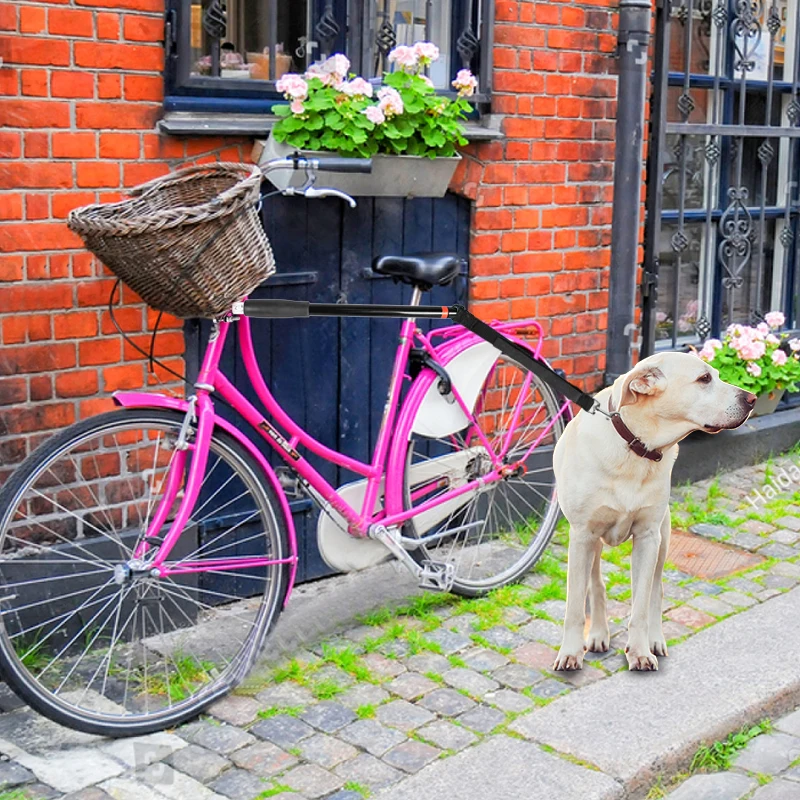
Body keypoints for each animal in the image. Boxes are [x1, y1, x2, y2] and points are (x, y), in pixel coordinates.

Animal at [552, 354, 752, 672]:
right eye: (704, 379)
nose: (752, 399)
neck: (636, 447)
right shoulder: (582, 536)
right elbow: (574, 604)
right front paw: (570, 652)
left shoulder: (648, 537)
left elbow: (642, 605)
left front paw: (640, 651)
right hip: (593, 542)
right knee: (596, 584)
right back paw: (598, 633)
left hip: (663, 537)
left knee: (654, 591)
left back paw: (654, 639)